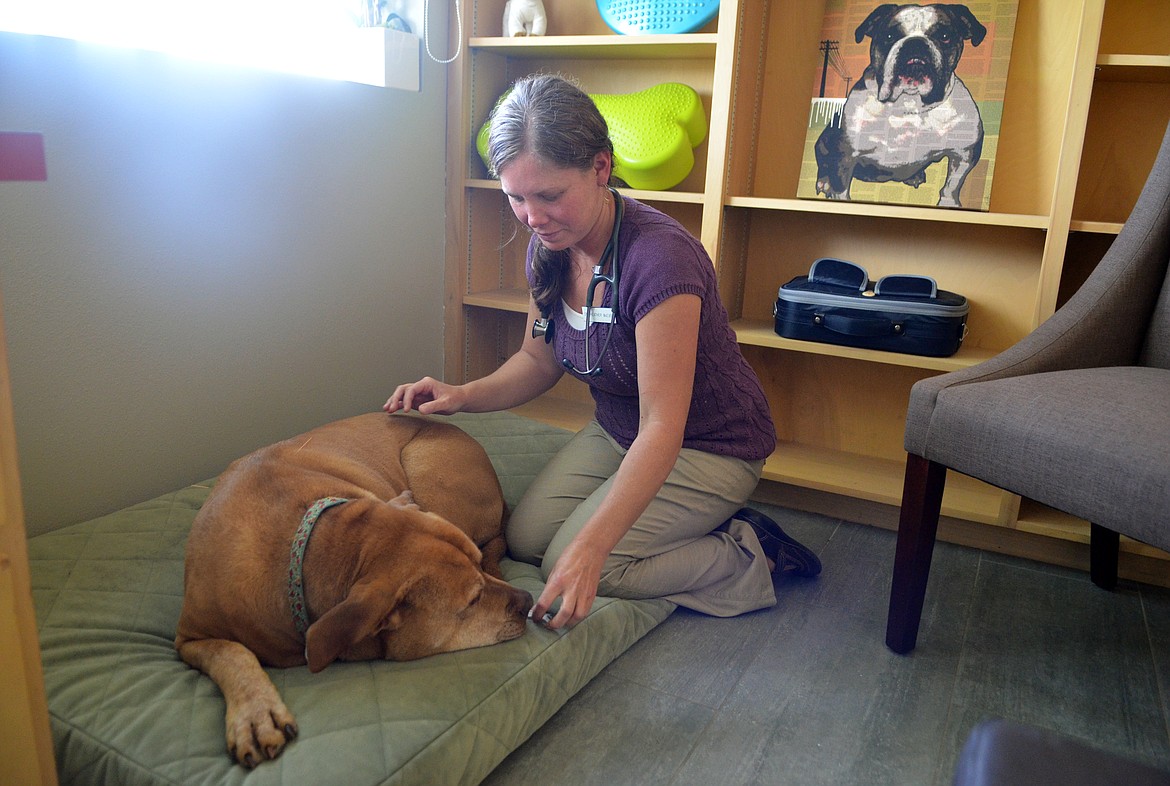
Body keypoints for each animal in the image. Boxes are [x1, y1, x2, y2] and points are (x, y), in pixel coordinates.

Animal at [174, 411, 535, 767]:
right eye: (473, 600)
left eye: (478, 564)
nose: (529, 599)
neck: (309, 545)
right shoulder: (188, 638)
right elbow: (231, 653)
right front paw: (255, 713)